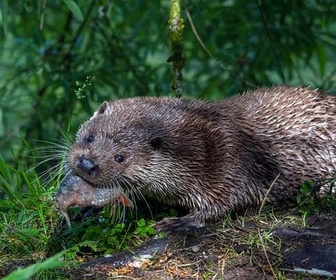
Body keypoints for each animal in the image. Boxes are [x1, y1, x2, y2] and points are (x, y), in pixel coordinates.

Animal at [62, 86, 336, 231]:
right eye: (90, 137)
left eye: (120, 157)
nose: (87, 164)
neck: (198, 146)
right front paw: (88, 208)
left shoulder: (229, 160)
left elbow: (225, 202)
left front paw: (177, 223)